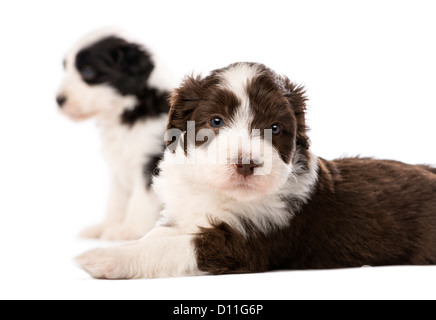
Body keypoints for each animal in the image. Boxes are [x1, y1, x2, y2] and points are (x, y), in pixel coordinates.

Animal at [58, 29, 175, 240]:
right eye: (66, 69)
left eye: (88, 72)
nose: (58, 100)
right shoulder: (117, 166)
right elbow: (116, 201)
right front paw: (106, 226)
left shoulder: (150, 162)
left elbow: (139, 200)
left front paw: (129, 230)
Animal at [76, 63, 436, 280]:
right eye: (216, 121)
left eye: (275, 128)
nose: (246, 163)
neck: (221, 193)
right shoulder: (185, 216)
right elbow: (156, 236)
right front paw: (120, 246)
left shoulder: (243, 242)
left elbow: (170, 248)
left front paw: (103, 259)